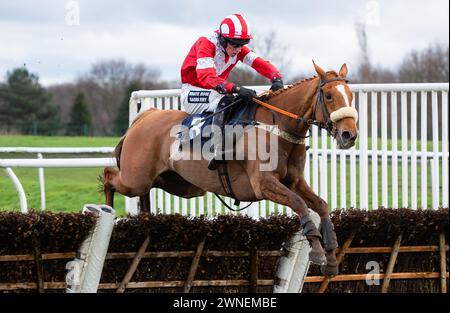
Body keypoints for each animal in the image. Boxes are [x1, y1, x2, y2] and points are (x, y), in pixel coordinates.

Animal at [102, 61, 358, 276]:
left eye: (351, 96)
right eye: (328, 95)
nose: (349, 135)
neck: (276, 127)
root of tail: (145, 116)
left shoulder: (294, 181)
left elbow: (321, 205)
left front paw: (331, 257)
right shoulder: (263, 184)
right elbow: (300, 204)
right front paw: (317, 252)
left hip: (176, 184)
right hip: (136, 178)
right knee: (109, 178)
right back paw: (108, 212)